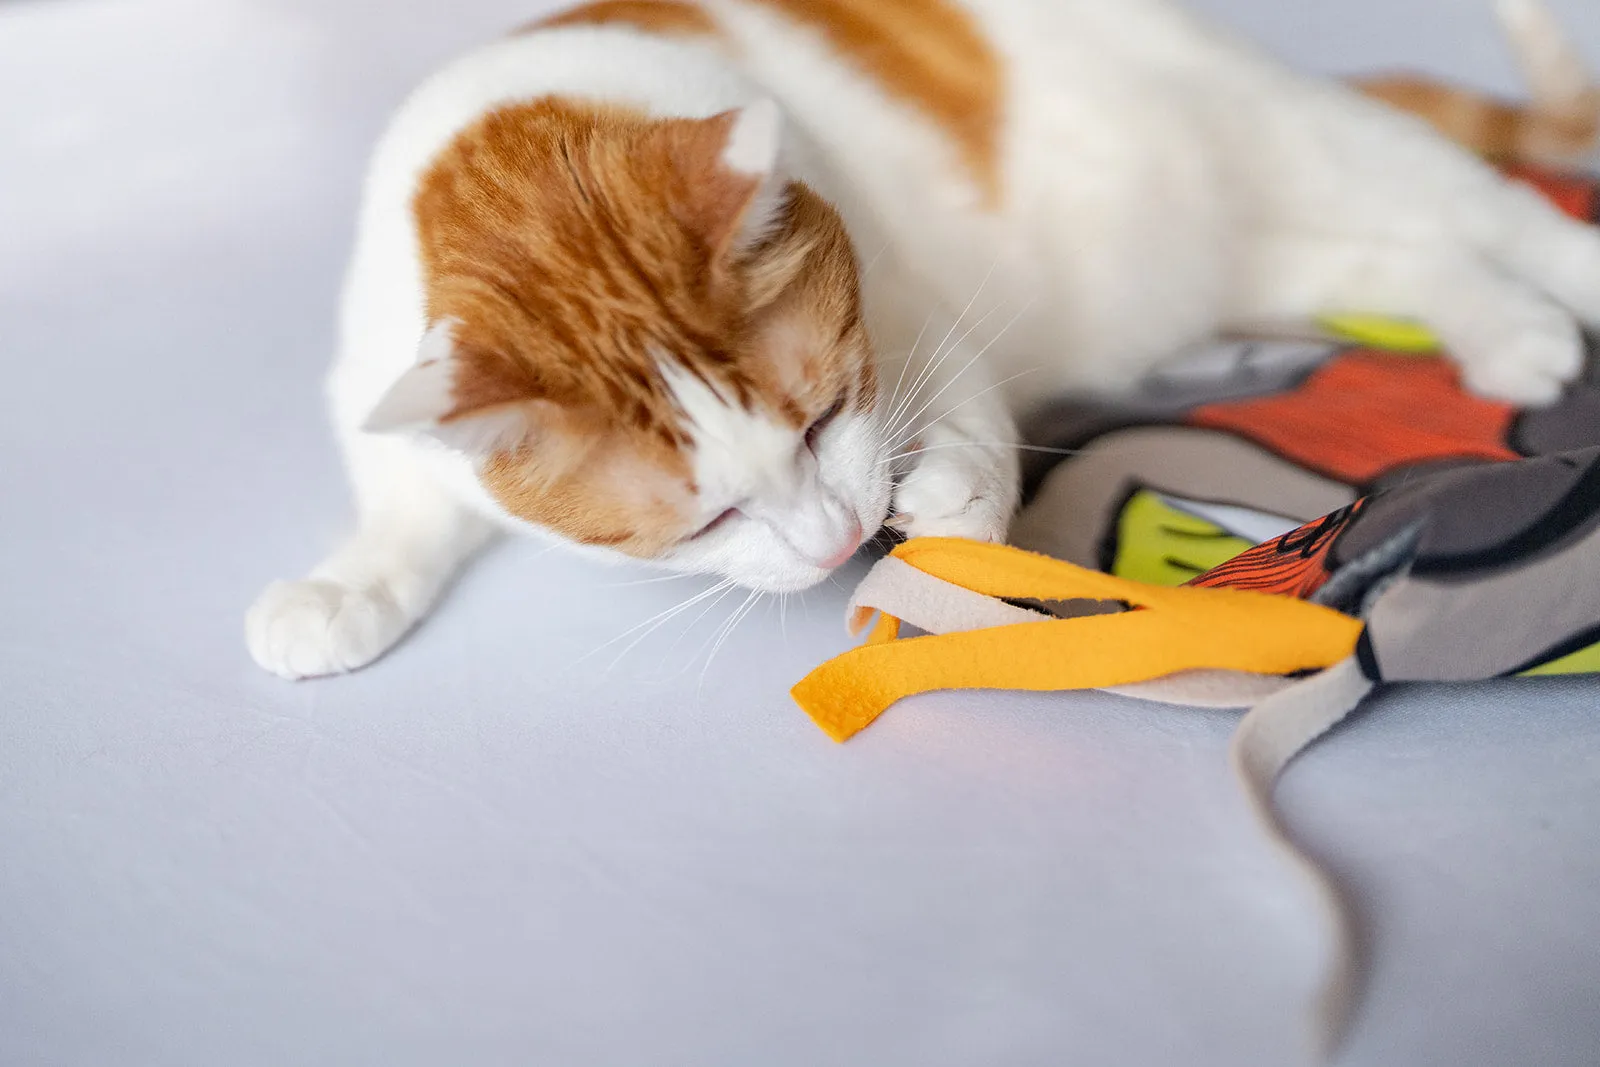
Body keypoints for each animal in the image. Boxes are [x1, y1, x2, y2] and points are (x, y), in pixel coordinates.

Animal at [243, 0, 1600, 681]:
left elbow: (966, 402)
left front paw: (952, 498)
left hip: (1300, 141)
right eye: (707, 519)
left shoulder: (913, 304)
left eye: (827, 416)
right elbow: (404, 507)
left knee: (1494, 211)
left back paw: (1553, 292)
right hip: (1240, 257)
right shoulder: (379, 389)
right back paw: (1511, 335)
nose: (841, 539)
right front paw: (347, 584)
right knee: (1400, 260)